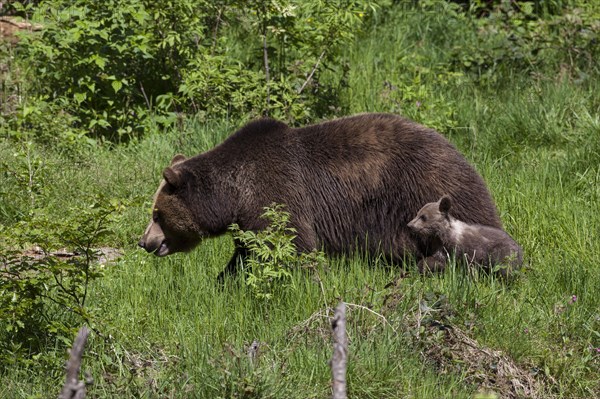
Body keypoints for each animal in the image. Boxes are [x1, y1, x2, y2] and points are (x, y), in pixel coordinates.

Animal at [138, 112, 500, 276]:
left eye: (157, 214)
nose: (144, 241)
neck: (233, 194)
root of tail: (457, 149)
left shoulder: (276, 192)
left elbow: (292, 244)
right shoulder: (249, 219)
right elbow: (245, 255)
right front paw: (225, 281)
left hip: (429, 188)